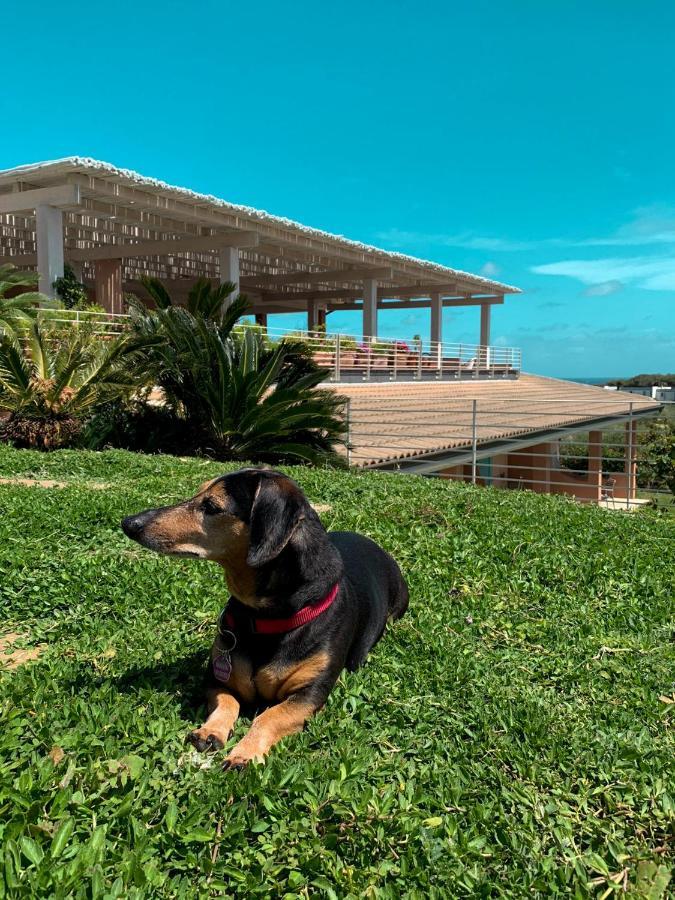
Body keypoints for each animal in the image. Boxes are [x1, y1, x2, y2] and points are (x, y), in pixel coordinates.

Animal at [121, 468, 406, 768]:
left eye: (211, 506)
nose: (129, 523)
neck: (263, 619)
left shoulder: (310, 693)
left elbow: (270, 716)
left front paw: (244, 753)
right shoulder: (217, 679)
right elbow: (226, 702)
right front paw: (210, 731)